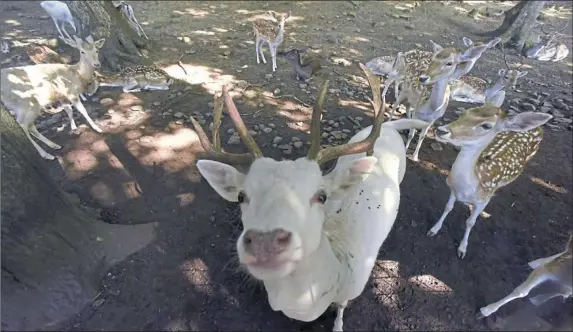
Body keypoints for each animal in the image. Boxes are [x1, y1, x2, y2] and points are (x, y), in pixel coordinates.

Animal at [188, 63, 428, 330]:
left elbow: (341, 309)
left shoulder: (352, 289)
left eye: (321, 196)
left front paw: (338, 325)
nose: (265, 243)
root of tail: (388, 126)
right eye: (241, 196)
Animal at [426, 105, 552, 258]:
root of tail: (538, 128)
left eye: (487, 126)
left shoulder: (483, 200)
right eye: (465, 112)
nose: (441, 130)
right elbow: (447, 207)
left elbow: (470, 222)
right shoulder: (453, 190)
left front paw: (462, 248)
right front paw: (434, 229)